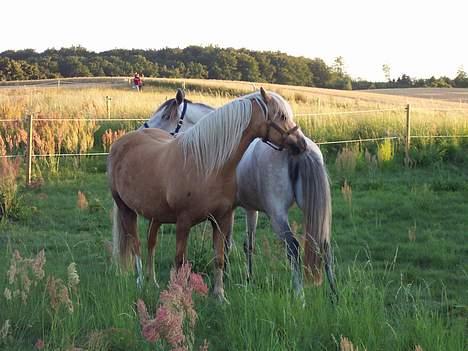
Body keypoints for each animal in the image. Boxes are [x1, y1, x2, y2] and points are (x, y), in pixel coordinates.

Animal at [109, 88, 308, 300]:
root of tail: (121, 142)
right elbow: (180, 261)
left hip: (156, 214)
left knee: (150, 242)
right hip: (126, 208)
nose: (301, 144)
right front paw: (180, 295)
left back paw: (152, 282)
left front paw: (220, 295)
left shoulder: (221, 218)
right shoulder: (184, 222)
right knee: (135, 243)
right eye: (282, 116)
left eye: (165, 116)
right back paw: (140, 282)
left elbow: (219, 257)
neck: (206, 164)